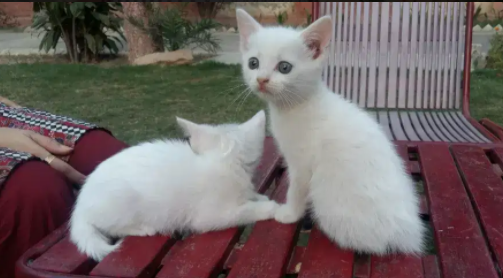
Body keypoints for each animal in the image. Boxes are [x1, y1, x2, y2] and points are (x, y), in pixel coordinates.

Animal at [69, 110, 280, 260]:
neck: (225, 162)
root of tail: (79, 206)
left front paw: (258, 196)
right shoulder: (208, 216)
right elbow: (243, 211)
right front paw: (269, 207)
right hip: (122, 201)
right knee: (112, 227)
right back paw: (143, 229)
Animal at [236, 9, 426, 255]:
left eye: (284, 67)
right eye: (253, 63)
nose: (261, 79)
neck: (297, 106)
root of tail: (407, 235)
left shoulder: (302, 165)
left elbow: (296, 189)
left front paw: (289, 214)